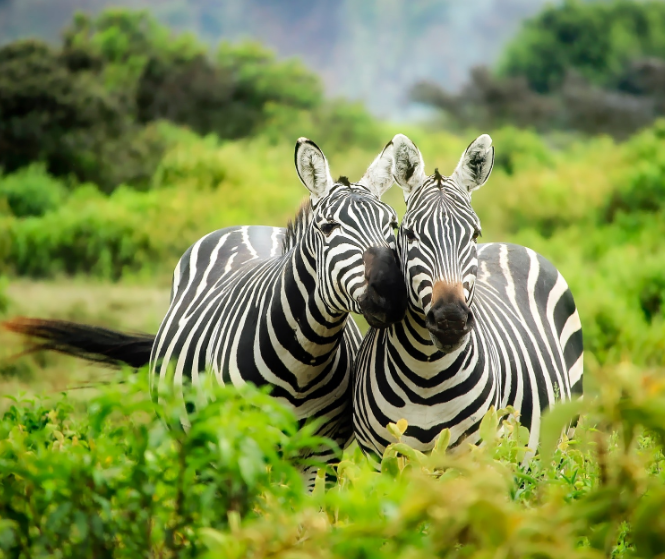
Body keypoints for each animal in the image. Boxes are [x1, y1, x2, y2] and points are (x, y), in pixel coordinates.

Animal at [4, 138, 407, 482]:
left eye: (393, 224)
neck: (304, 360)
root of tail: (251, 226)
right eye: (328, 227)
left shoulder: (322, 454)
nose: (390, 292)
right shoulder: (237, 443)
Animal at [352, 133, 584, 462]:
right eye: (409, 234)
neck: (425, 374)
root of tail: (509, 244)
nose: (450, 320)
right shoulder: (380, 458)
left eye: (474, 234)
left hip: (564, 439)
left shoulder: (475, 456)